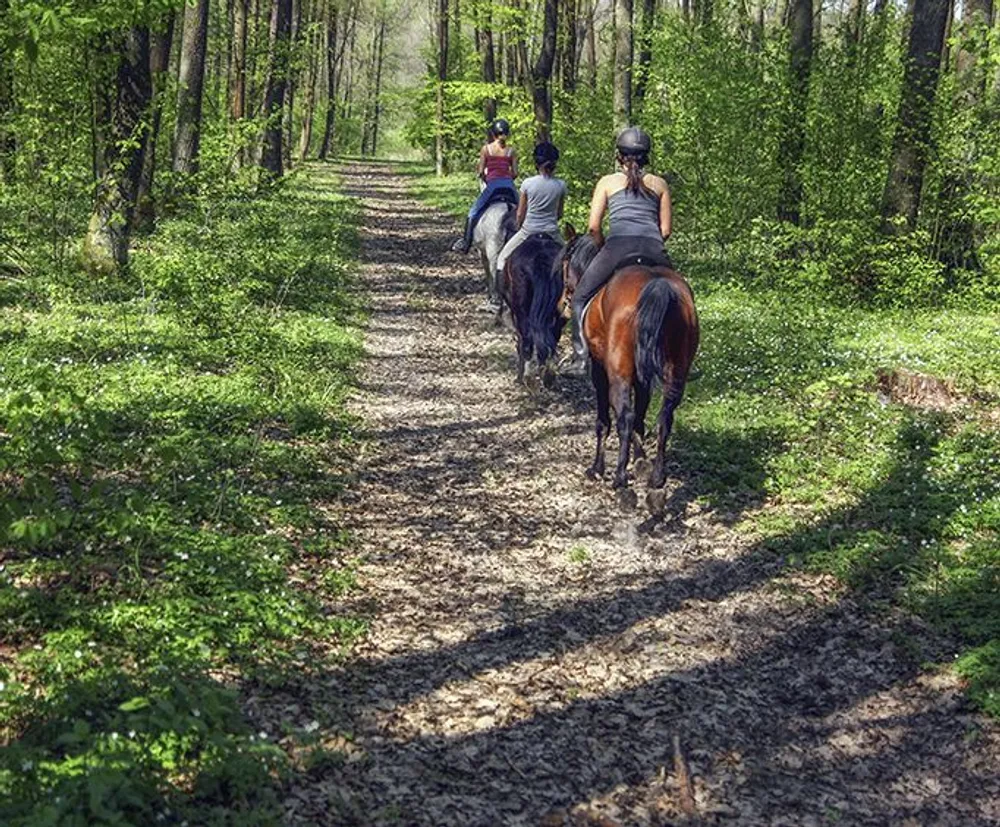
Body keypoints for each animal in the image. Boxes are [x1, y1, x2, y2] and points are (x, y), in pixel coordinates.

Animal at [504, 233, 568, 384]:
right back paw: (548, 374)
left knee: (527, 339)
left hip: (521, 310)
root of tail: (541, 257)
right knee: (552, 336)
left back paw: (526, 378)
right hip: (559, 310)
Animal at [560, 228, 700, 492]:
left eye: (565, 261)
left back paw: (619, 478)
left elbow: (605, 419)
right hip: (675, 371)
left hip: (619, 372)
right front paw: (640, 460)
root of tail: (658, 284)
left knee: (624, 415)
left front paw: (598, 468)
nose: (564, 299)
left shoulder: (599, 369)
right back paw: (657, 478)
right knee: (665, 417)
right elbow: (642, 415)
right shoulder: (643, 377)